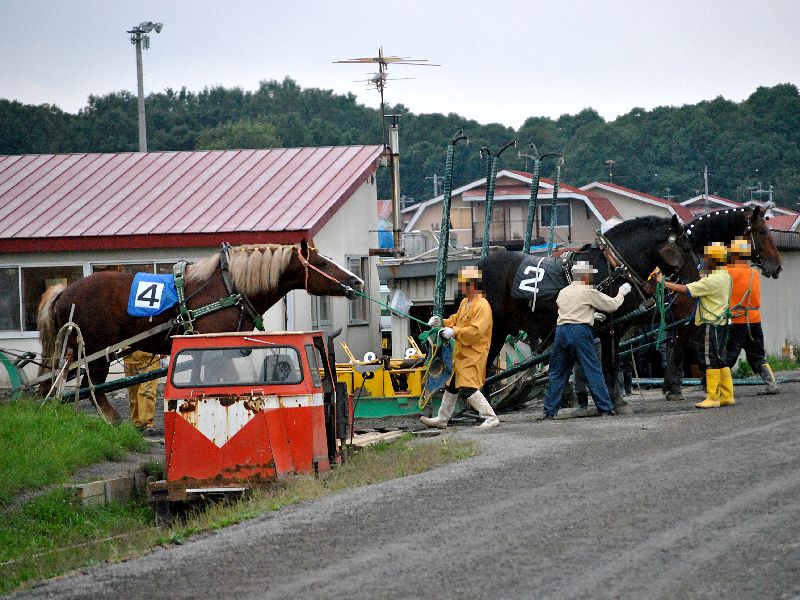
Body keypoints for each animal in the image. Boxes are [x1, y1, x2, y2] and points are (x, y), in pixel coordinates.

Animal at [36, 240, 363, 422]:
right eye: (321, 263)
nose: (356, 282)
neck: (230, 287)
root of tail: (65, 291)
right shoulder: (214, 347)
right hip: (95, 349)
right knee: (91, 387)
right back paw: (111, 419)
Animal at [478, 215, 699, 413]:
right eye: (686, 249)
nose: (692, 284)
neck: (612, 267)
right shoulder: (611, 327)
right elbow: (609, 363)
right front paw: (617, 402)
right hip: (494, 330)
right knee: (482, 364)